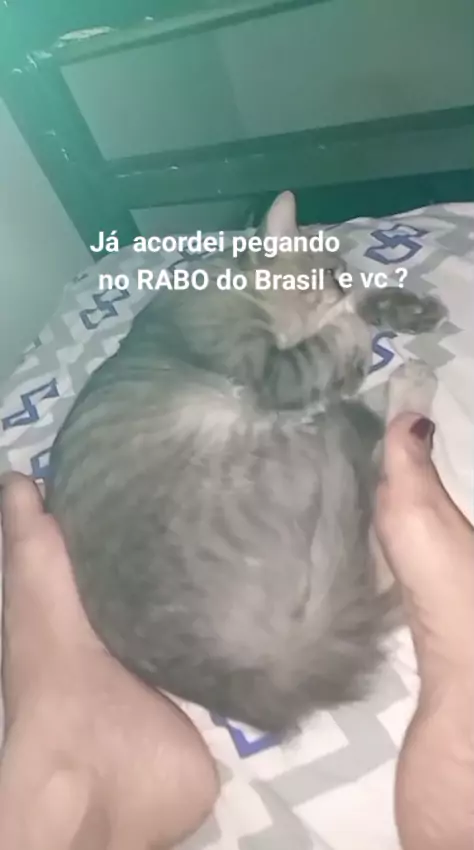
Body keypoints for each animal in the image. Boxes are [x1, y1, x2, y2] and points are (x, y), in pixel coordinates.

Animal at [45, 192, 446, 734]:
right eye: (329, 269)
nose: (343, 278)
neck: (230, 285)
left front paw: (401, 308)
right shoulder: (276, 372)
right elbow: (335, 337)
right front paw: (353, 315)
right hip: (285, 454)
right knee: (376, 495)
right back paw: (411, 386)